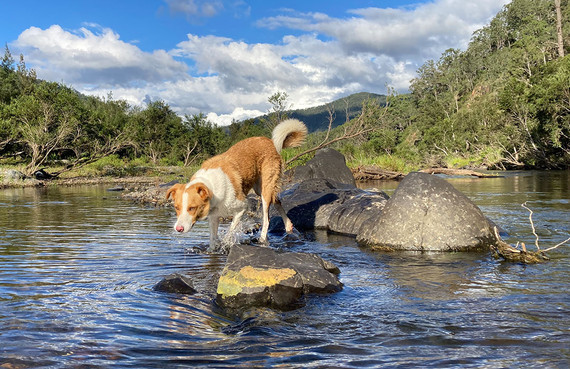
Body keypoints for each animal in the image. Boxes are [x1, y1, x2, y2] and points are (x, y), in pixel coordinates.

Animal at [164, 118, 306, 250]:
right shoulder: (213, 216)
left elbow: (230, 230)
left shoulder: (242, 207)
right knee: (277, 200)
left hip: (266, 189)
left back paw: (262, 239)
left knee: (267, 219)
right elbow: (212, 237)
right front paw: (213, 248)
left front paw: (226, 243)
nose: (178, 229)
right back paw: (288, 226)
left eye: (192, 208)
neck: (210, 185)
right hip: (261, 188)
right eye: (176, 207)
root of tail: (270, 142)